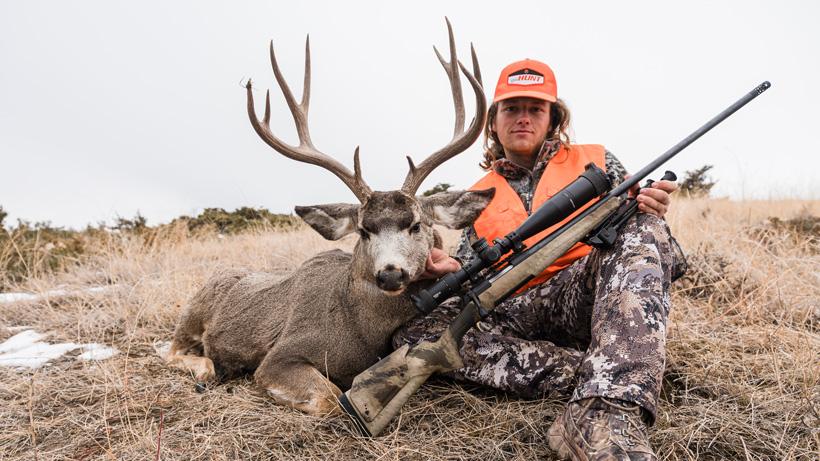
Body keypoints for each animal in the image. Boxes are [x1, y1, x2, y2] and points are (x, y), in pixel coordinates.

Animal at [165, 20, 494, 416]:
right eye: (364, 231)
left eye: (416, 225)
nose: (390, 273)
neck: (358, 329)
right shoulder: (280, 354)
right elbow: (332, 398)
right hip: (191, 312)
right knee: (172, 349)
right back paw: (210, 370)